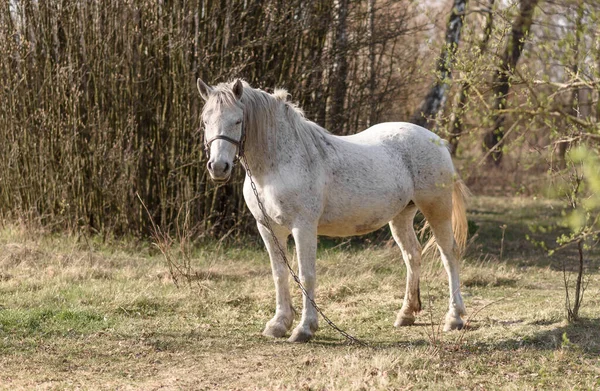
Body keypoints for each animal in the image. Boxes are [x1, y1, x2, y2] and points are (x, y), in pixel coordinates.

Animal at [197, 79, 468, 344]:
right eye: (205, 121)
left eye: (237, 120)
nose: (218, 167)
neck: (278, 164)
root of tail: (438, 141)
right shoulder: (268, 228)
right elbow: (279, 274)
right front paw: (278, 324)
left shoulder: (303, 227)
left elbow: (306, 275)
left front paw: (304, 328)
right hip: (401, 216)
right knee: (412, 255)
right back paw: (406, 314)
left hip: (437, 209)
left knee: (449, 254)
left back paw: (454, 317)